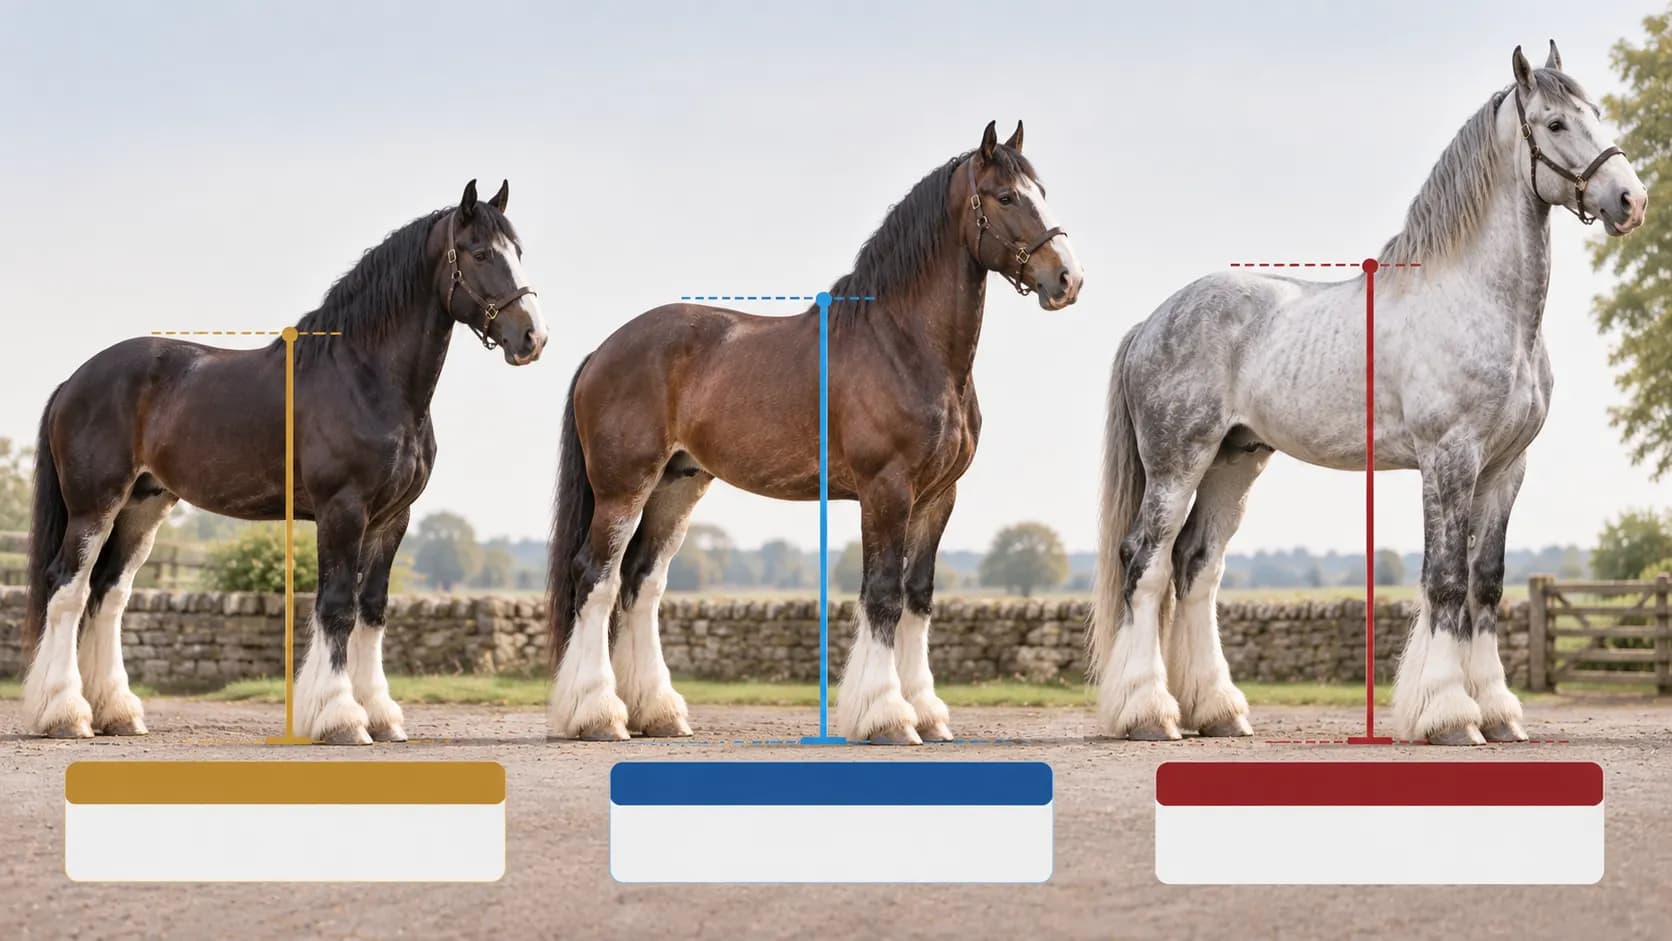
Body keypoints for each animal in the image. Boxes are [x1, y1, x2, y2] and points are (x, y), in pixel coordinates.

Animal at [20, 180, 547, 744]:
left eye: (519, 252)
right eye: (480, 252)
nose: (532, 337)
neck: (364, 377)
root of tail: (75, 381)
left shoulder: (391, 520)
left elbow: (372, 610)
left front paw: (381, 715)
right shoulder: (342, 510)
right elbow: (336, 608)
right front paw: (341, 717)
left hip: (142, 507)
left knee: (109, 595)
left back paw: (117, 713)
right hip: (94, 506)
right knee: (67, 590)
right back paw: (65, 713)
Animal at [545, 121, 1084, 744]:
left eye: (1040, 191)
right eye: (1006, 197)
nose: (1068, 279)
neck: (903, 345)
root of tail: (602, 352)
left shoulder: (937, 497)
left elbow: (918, 597)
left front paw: (927, 712)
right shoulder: (886, 489)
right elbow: (882, 595)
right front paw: (887, 715)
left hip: (676, 485)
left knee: (640, 584)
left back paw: (658, 713)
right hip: (623, 488)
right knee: (596, 579)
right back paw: (598, 714)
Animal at [1090, 42, 1647, 745]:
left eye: (1595, 113)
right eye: (1554, 123)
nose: (1631, 200)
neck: (1478, 302)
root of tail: (1151, 322)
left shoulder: (1504, 469)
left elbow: (1486, 585)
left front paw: (1498, 713)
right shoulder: (1449, 459)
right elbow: (1446, 581)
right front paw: (1449, 715)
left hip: (1233, 462)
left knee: (1197, 567)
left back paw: (1218, 711)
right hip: (1177, 464)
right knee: (1146, 564)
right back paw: (1148, 713)